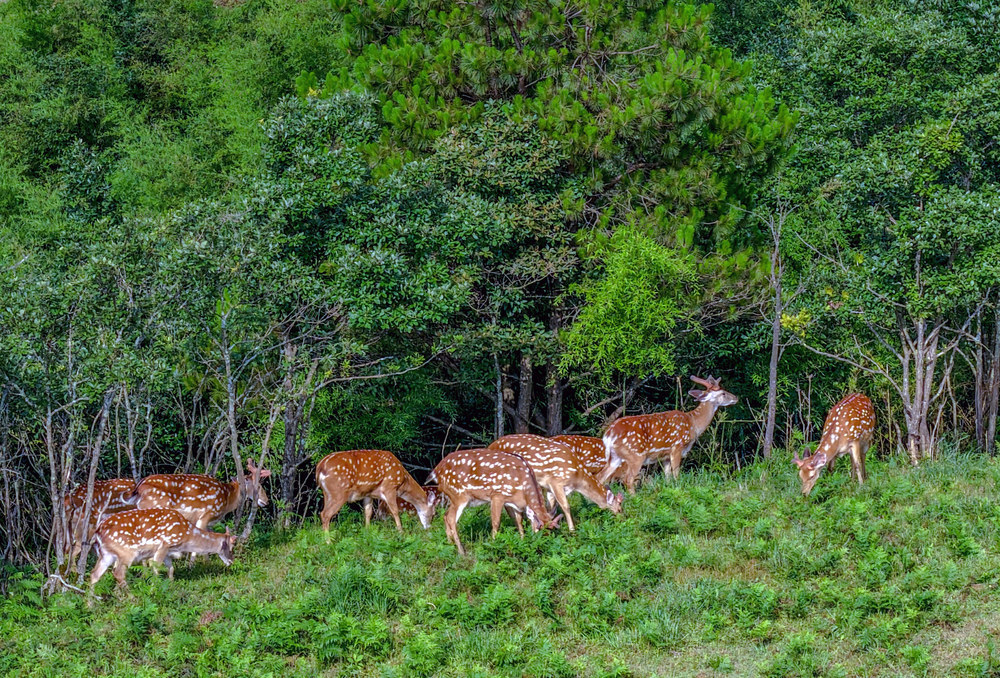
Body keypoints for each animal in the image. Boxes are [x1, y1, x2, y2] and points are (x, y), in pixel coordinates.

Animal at [89, 508, 237, 592]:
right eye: (231, 547)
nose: (232, 561)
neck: (186, 535)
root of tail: (97, 532)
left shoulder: (168, 552)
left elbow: (171, 569)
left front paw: (170, 586)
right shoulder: (164, 545)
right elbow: (155, 568)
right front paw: (154, 591)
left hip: (106, 555)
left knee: (95, 574)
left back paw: (92, 604)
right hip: (126, 552)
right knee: (118, 573)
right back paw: (131, 597)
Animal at [427, 448, 561, 555]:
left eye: (551, 533)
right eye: (539, 530)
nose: (540, 548)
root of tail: (436, 471)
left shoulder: (516, 504)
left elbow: (519, 522)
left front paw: (522, 542)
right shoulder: (497, 495)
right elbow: (496, 522)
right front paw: (493, 545)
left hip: (453, 497)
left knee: (445, 516)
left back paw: (450, 545)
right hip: (459, 495)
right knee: (451, 518)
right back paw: (461, 551)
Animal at [488, 434, 623, 532]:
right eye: (620, 508)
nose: (624, 518)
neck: (577, 477)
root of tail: (491, 445)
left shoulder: (548, 487)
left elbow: (551, 507)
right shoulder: (556, 481)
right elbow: (566, 506)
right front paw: (572, 530)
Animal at [597, 375, 738, 493]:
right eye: (723, 393)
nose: (736, 398)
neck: (693, 423)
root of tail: (609, 435)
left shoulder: (665, 456)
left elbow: (668, 477)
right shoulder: (677, 446)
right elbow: (676, 474)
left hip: (615, 457)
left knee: (600, 477)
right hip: (635, 455)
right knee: (628, 479)